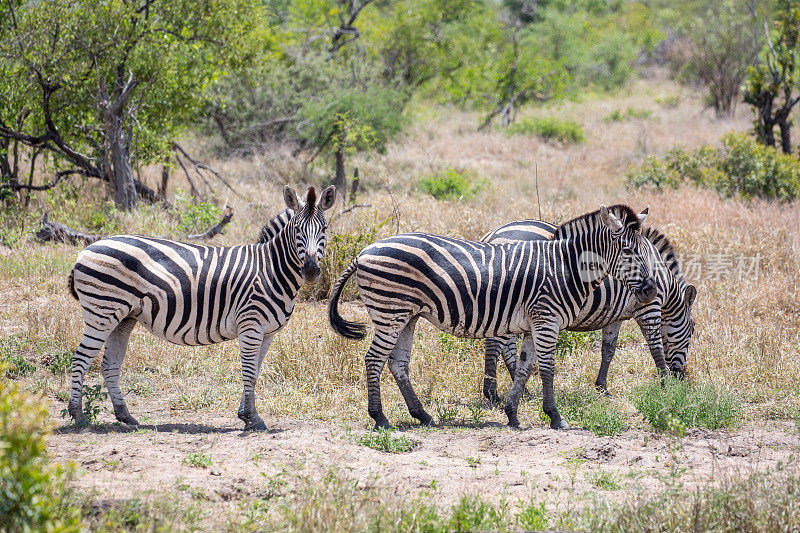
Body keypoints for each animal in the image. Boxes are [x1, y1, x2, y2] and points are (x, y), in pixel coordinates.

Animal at [65, 184, 334, 428]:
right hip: (102, 312)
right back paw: (78, 416)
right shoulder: (250, 324)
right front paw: (253, 418)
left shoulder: (267, 332)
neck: (271, 269)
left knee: (110, 364)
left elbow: (255, 372)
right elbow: (248, 372)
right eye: (297, 230)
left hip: (123, 318)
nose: (311, 270)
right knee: (81, 359)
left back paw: (125, 416)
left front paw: (245, 414)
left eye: (324, 229)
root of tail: (86, 249)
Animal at [328, 204, 660, 428]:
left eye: (646, 250)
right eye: (628, 251)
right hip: (390, 311)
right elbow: (547, 368)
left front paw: (512, 414)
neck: (566, 267)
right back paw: (380, 417)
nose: (651, 291)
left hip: (406, 315)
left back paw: (422, 415)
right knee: (373, 359)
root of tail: (362, 252)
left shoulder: (534, 324)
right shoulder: (547, 320)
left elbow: (526, 368)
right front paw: (555, 417)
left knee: (397, 363)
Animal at [478, 216, 696, 404]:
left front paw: (602, 387)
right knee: (495, 345)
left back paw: (523, 391)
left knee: (506, 348)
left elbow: (608, 350)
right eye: (692, 330)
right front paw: (667, 387)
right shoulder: (649, 307)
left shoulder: (616, 315)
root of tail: (489, 236)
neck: (664, 283)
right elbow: (656, 347)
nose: (681, 377)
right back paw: (492, 394)